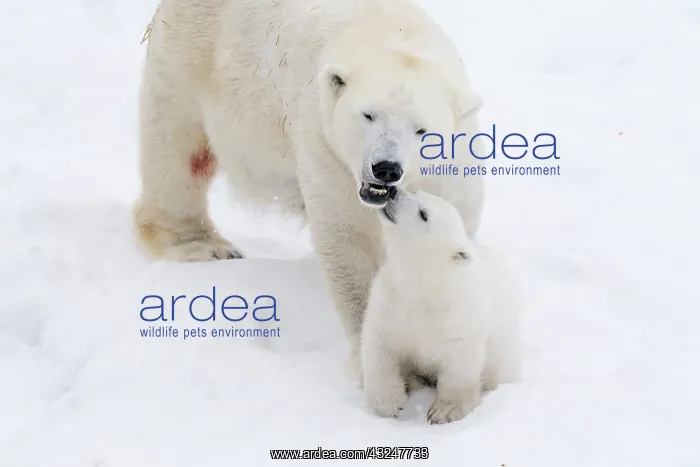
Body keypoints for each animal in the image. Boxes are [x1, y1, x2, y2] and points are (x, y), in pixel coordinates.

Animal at [134, 0, 486, 372]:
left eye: (421, 129)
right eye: (368, 115)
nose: (386, 168)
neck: (392, 31)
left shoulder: (454, 159)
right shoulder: (324, 141)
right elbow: (348, 235)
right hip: (192, 52)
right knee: (179, 149)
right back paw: (201, 245)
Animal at [361, 189, 521, 424]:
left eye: (424, 214)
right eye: (416, 192)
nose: (393, 192)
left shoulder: (457, 316)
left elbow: (460, 363)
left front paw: (444, 411)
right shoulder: (391, 302)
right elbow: (380, 347)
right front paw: (389, 402)